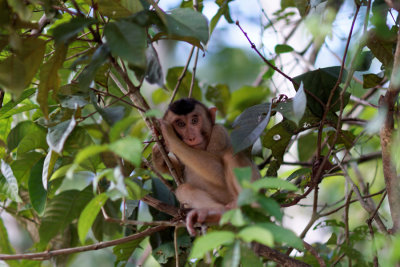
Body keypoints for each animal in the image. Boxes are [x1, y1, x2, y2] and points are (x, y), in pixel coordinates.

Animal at [152, 98, 260, 234]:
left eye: (194, 121)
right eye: (181, 124)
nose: (191, 137)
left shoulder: (219, 133)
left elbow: (218, 174)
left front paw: (169, 136)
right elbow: (180, 170)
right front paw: (158, 155)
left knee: (230, 154)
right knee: (184, 189)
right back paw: (216, 213)